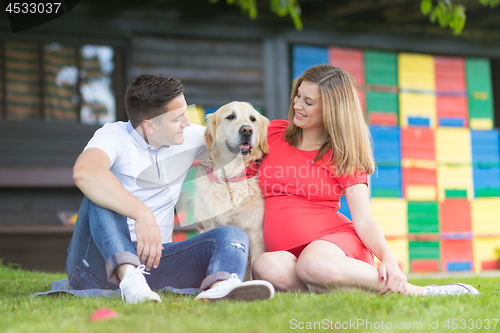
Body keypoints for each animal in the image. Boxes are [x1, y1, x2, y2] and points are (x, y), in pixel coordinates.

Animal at [192, 100, 270, 278]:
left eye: (253, 119)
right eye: (230, 117)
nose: (247, 130)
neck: (230, 175)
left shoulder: (255, 234)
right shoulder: (209, 227)